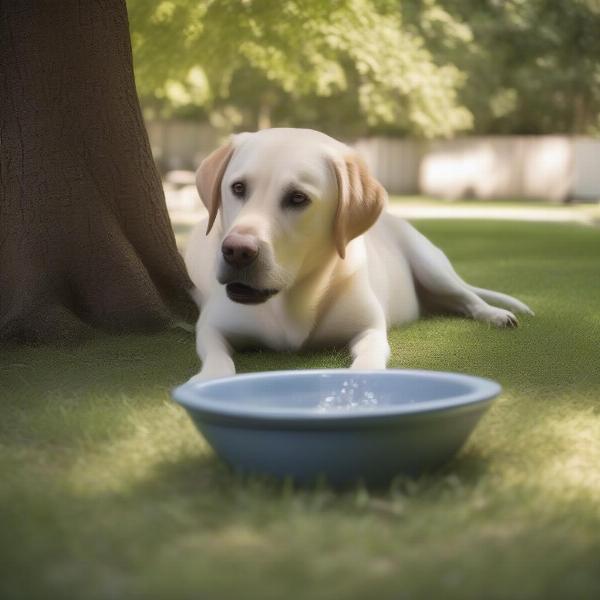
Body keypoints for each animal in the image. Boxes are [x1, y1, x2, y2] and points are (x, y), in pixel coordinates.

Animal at [185, 127, 532, 380]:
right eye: (238, 188)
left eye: (297, 198)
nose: (237, 251)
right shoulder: (211, 327)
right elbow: (217, 358)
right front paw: (209, 380)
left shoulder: (370, 329)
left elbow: (370, 356)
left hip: (431, 266)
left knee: (468, 298)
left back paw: (495, 314)